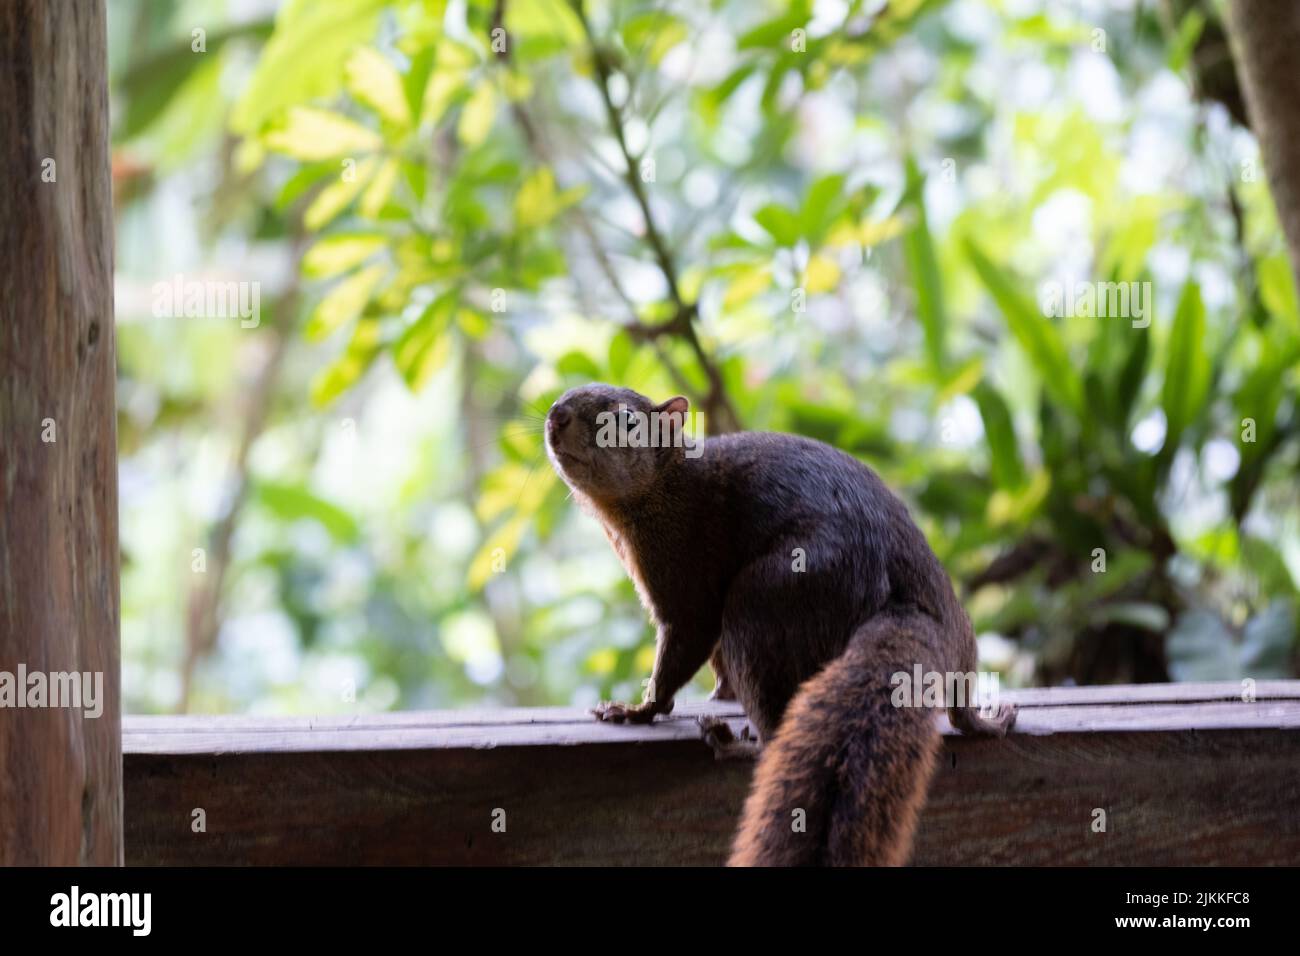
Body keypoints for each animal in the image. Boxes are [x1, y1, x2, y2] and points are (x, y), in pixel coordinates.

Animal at [544, 383, 1016, 866]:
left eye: (625, 421)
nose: (555, 415)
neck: (667, 486)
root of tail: (897, 600)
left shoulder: (686, 578)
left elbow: (686, 644)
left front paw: (635, 710)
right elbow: (715, 663)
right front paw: (721, 692)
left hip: (760, 604)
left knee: (773, 730)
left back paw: (735, 745)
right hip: (960, 631)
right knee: (960, 708)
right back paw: (988, 721)